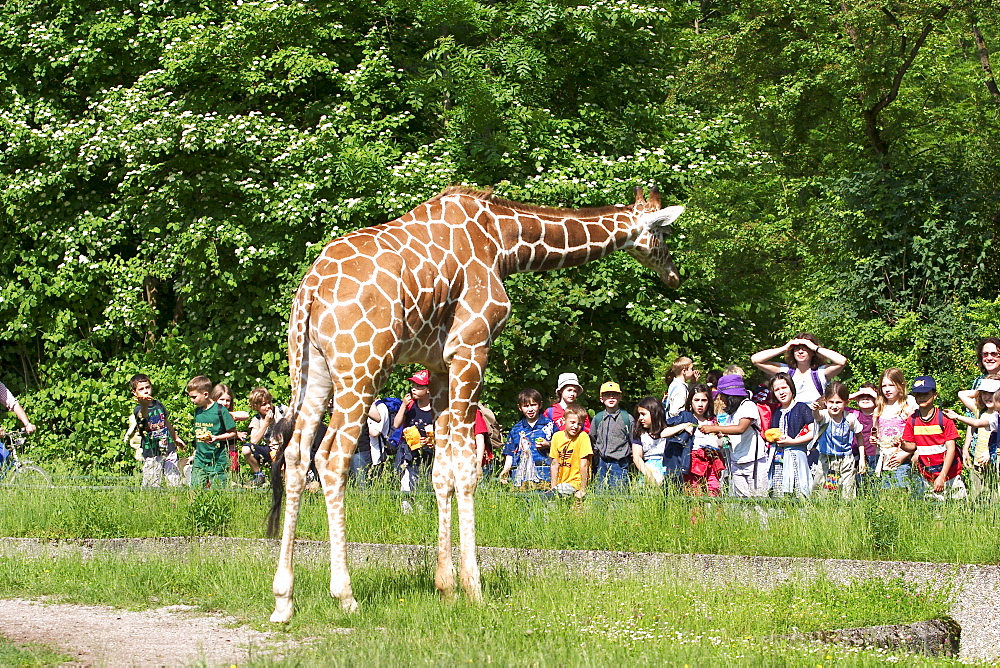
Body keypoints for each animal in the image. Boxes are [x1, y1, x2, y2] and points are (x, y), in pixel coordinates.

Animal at [270, 184, 684, 620]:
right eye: (663, 234)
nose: (675, 275)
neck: (503, 241)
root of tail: (311, 290)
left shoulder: (438, 365)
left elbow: (441, 471)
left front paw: (446, 587)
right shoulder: (471, 348)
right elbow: (468, 469)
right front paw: (473, 588)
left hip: (312, 370)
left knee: (296, 455)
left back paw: (284, 599)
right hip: (362, 367)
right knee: (332, 460)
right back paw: (345, 595)